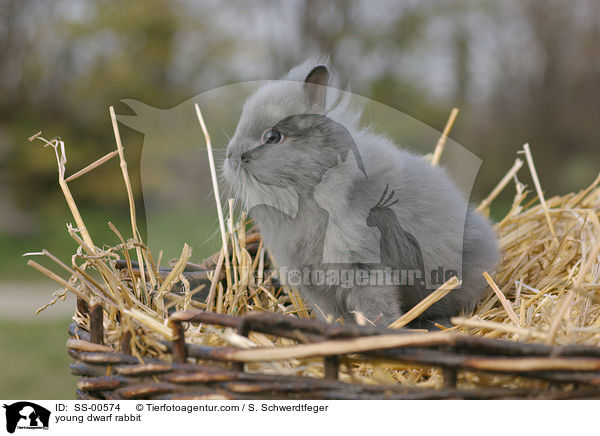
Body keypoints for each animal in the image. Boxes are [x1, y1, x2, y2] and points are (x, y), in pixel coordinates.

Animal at [223, 60, 500, 328]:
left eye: (272, 137)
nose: (230, 156)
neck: (312, 186)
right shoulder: (313, 282)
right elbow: (329, 313)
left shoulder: (363, 269)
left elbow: (376, 308)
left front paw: (378, 330)